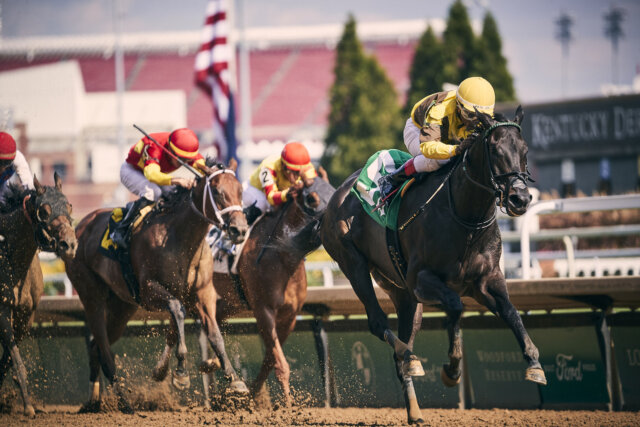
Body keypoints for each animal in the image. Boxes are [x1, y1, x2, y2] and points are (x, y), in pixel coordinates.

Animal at [0, 172, 77, 416]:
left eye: (69, 205)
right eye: (43, 210)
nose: (69, 244)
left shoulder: (27, 315)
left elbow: (7, 360)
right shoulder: (2, 312)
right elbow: (15, 360)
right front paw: (28, 407)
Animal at [64, 159, 250, 412]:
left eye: (240, 191)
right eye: (218, 192)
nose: (239, 230)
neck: (180, 237)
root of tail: (80, 225)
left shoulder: (203, 294)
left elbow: (214, 334)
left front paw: (234, 379)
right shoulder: (149, 290)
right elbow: (177, 311)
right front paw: (180, 372)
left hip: (121, 306)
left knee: (96, 347)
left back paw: (94, 402)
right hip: (90, 294)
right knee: (104, 348)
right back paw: (124, 403)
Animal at [205, 168, 336, 408]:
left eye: (333, 192)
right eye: (312, 199)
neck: (282, 257)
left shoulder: (289, 316)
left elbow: (269, 360)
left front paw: (251, 396)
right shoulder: (263, 310)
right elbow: (280, 363)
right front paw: (289, 405)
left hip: (228, 302)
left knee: (212, 322)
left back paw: (211, 364)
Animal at [320, 107, 544, 424]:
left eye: (524, 150)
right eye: (495, 149)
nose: (520, 198)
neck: (466, 219)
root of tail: (334, 199)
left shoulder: (487, 280)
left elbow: (512, 313)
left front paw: (534, 363)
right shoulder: (422, 280)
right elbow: (456, 308)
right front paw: (452, 369)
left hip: (400, 291)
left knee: (402, 344)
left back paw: (414, 408)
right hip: (354, 264)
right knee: (379, 323)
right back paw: (411, 358)